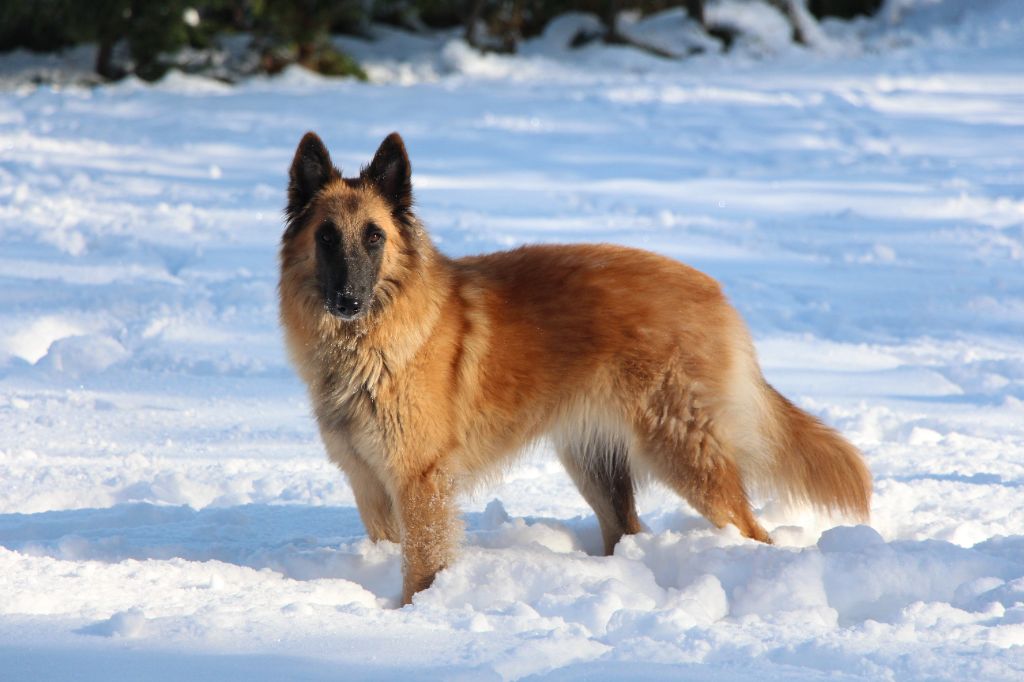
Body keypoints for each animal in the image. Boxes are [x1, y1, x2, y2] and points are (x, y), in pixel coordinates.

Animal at [278, 130, 872, 602]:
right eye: (326, 237)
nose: (349, 299)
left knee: (750, 531)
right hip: (595, 462)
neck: (366, 346)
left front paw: (414, 613)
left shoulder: (419, 482)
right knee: (628, 530)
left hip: (682, 453)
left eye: (374, 236)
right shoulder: (370, 484)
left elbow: (422, 566)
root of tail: (713, 290)